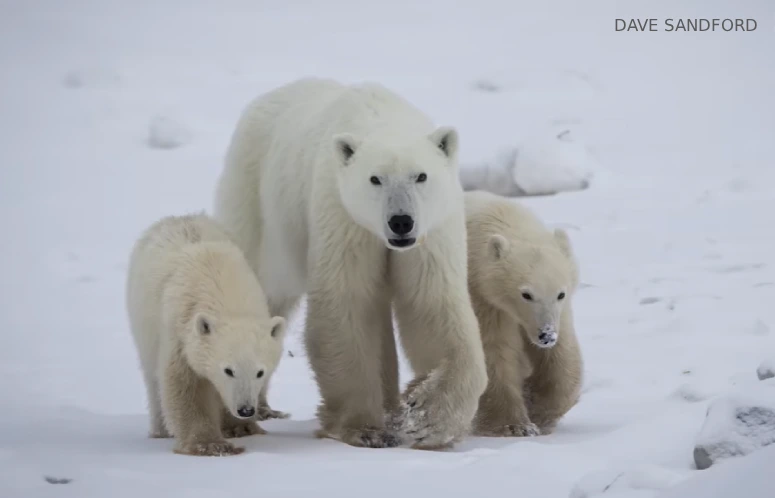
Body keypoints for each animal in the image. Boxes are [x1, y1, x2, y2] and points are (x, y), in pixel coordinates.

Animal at [125, 213, 288, 456]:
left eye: (260, 372)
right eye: (228, 370)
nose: (246, 409)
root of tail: (179, 217)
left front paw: (241, 428)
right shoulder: (180, 332)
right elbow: (186, 385)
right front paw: (211, 444)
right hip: (143, 323)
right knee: (152, 378)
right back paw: (161, 431)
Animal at [213, 78, 488, 450]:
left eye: (421, 176)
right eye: (375, 179)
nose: (401, 221)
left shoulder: (431, 232)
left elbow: (431, 304)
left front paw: (427, 417)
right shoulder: (344, 217)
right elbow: (347, 306)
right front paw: (365, 429)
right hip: (257, 203)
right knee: (262, 290)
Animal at [463, 190, 583, 437]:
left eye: (561, 293)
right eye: (526, 294)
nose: (546, 335)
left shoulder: (560, 313)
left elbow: (561, 356)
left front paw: (539, 408)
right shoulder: (484, 298)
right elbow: (495, 351)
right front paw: (516, 426)